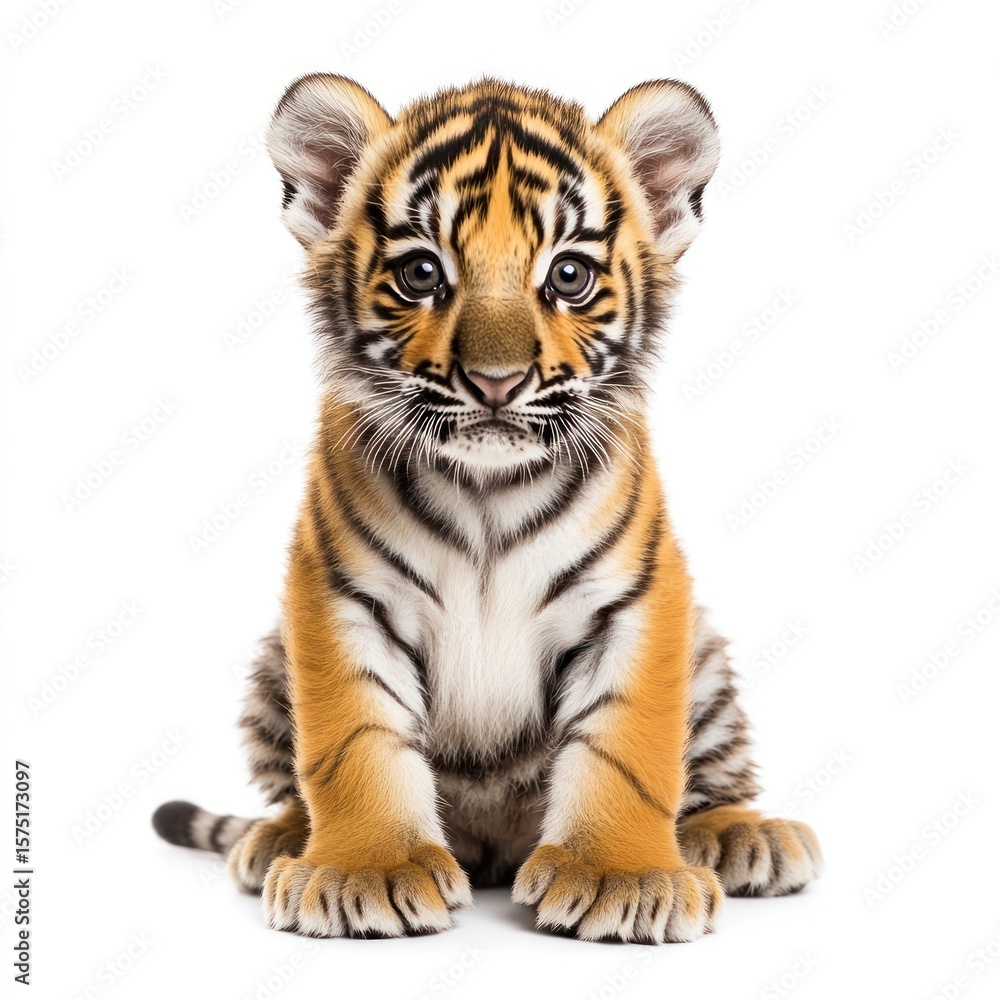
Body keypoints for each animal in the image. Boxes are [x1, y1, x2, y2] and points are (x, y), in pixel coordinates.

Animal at [153, 75, 822, 943]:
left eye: (568, 277)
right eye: (420, 274)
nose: (497, 381)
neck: (487, 491)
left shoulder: (638, 600)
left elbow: (627, 747)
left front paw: (624, 877)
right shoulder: (340, 595)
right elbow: (355, 740)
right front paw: (368, 869)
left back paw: (741, 836)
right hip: (275, 663)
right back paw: (281, 841)